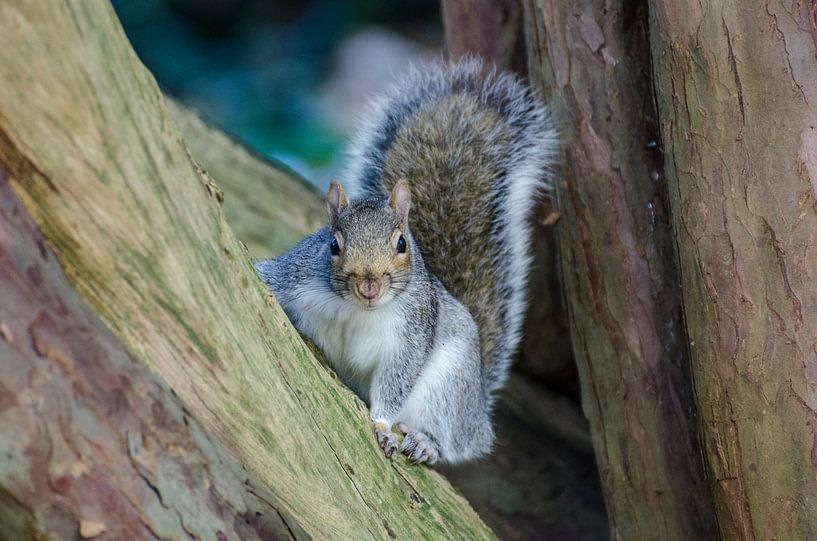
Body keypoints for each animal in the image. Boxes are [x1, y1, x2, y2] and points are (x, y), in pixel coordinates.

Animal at [256, 59, 556, 464]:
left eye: (401, 243)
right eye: (333, 245)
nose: (369, 286)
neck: (358, 311)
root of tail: (477, 406)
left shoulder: (410, 337)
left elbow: (396, 381)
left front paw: (382, 425)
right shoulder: (295, 275)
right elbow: (267, 276)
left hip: (449, 387)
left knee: (453, 442)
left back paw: (425, 441)